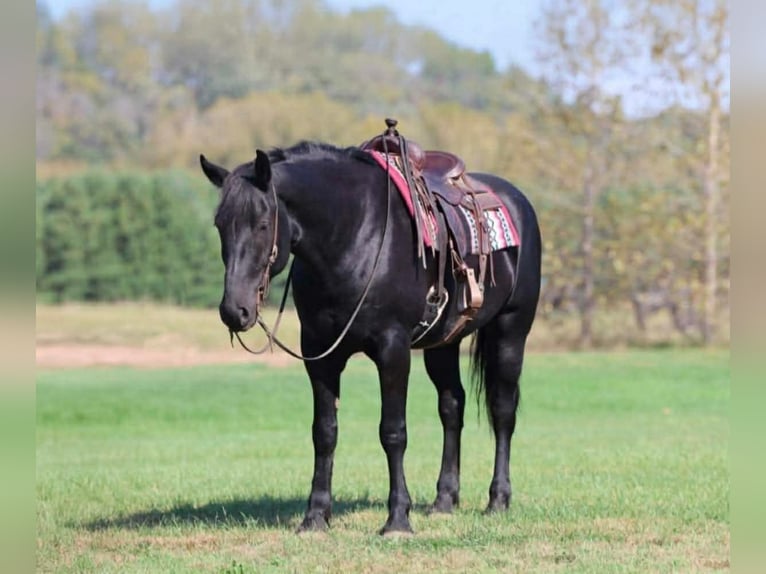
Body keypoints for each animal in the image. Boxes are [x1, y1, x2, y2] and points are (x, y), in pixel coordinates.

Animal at [199, 138, 541, 535]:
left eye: (263, 223)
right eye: (220, 224)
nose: (234, 310)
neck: (351, 236)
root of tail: (518, 201)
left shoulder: (392, 350)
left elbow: (393, 432)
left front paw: (397, 519)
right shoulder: (319, 353)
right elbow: (324, 432)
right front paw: (315, 516)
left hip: (510, 330)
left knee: (502, 411)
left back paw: (498, 500)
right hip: (443, 344)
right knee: (452, 406)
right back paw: (444, 500)